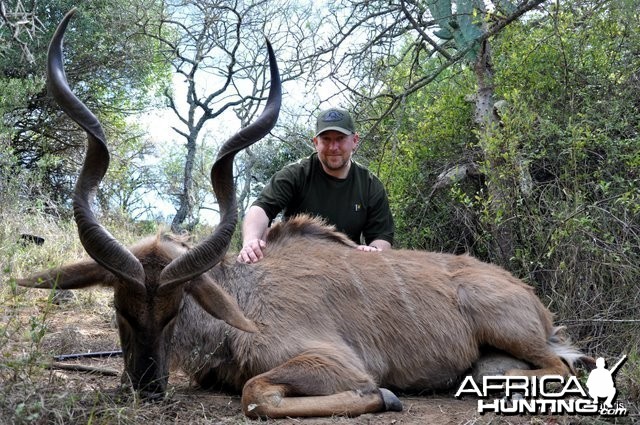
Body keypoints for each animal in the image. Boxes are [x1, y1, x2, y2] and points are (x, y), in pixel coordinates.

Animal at [17, 9, 592, 418]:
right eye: (119, 308)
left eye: (176, 311)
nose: (148, 389)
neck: (243, 298)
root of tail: (531, 301)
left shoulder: (330, 362)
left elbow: (256, 393)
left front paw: (385, 396)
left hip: (509, 329)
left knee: (562, 368)